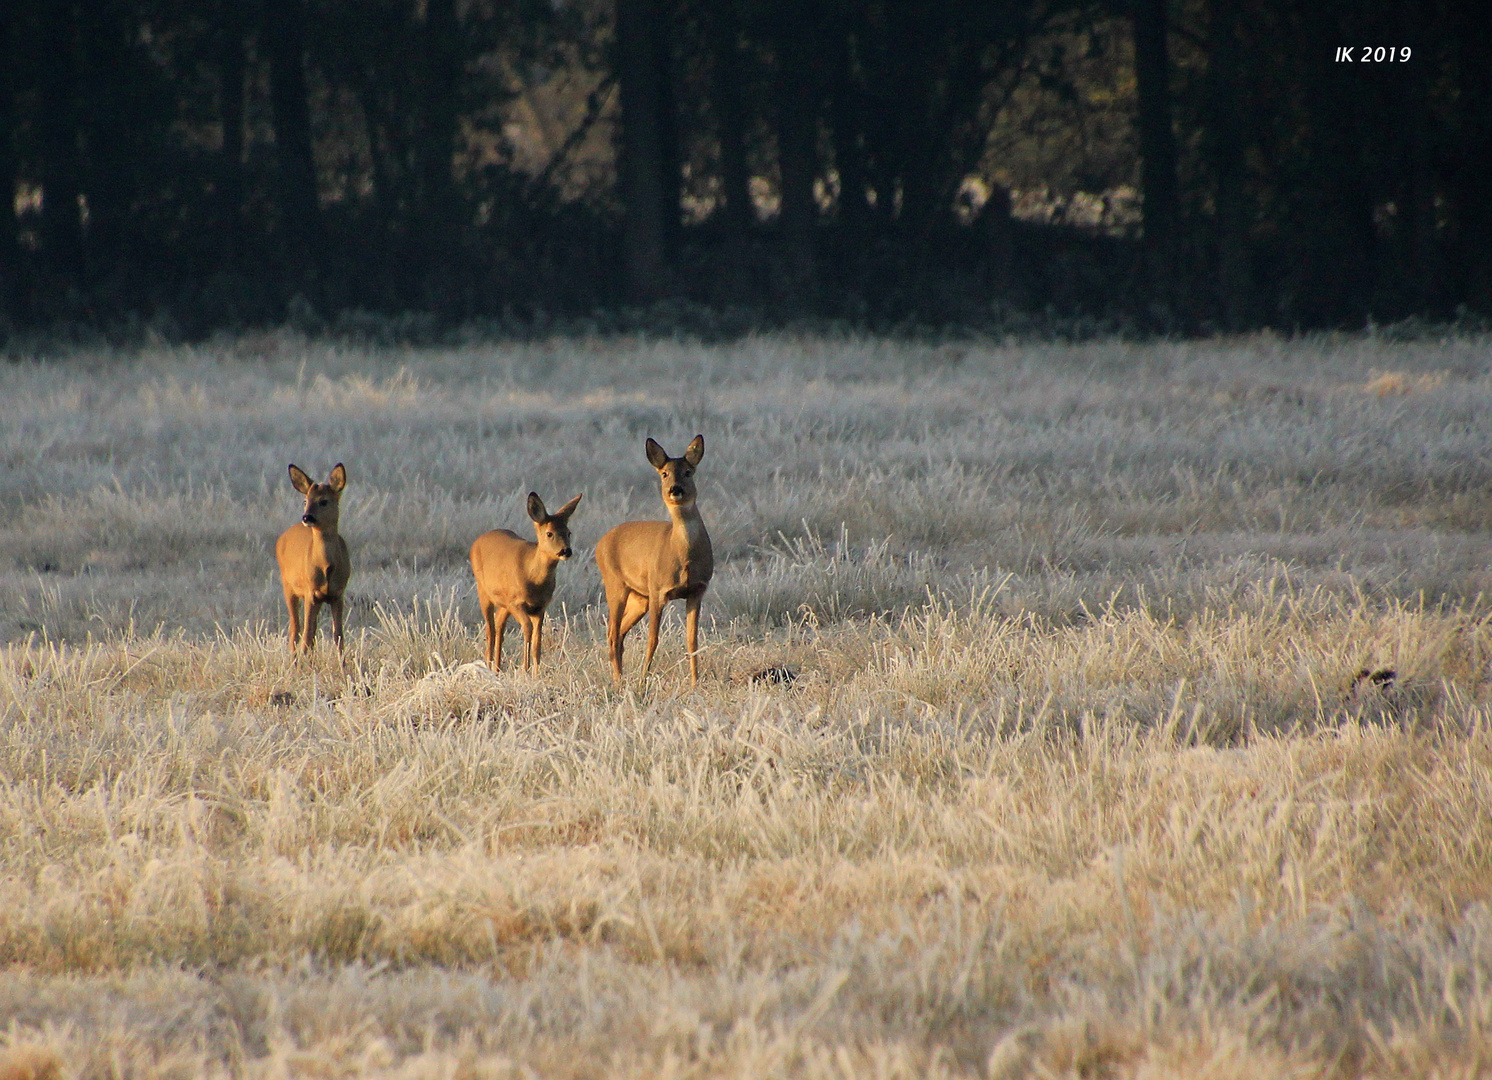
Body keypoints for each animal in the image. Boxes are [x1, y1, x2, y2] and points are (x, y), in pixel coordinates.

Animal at [277, 462, 352, 653]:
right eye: (305, 501)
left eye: (323, 501)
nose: (307, 517)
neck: (326, 566)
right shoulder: (311, 592)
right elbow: (307, 635)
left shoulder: (337, 594)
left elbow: (338, 635)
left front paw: (343, 661)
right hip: (288, 586)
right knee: (295, 628)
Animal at [471, 492, 581, 674]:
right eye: (549, 533)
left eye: (569, 532)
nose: (566, 551)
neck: (534, 578)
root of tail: (477, 541)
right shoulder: (516, 602)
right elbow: (528, 629)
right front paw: (525, 669)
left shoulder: (540, 607)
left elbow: (537, 640)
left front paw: (536, 674)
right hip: (483, 591)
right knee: (490, 629)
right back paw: (488, 666)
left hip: (503, 602)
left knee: (499, 624)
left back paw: (497, 668)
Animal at [590, 435, 713, 683]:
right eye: (664, 473)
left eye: (688, 472)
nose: (675, 489)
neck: (683, 554)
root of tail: (601, 543)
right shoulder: (658, 589)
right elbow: (653, 639)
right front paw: (643, 679)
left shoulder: (697, 590)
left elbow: (692, 641)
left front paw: (695, 682)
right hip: (615, 584)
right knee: (612, 632)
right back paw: (618, 681)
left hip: (640, 597)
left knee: (619, 633)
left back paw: (620, 677)